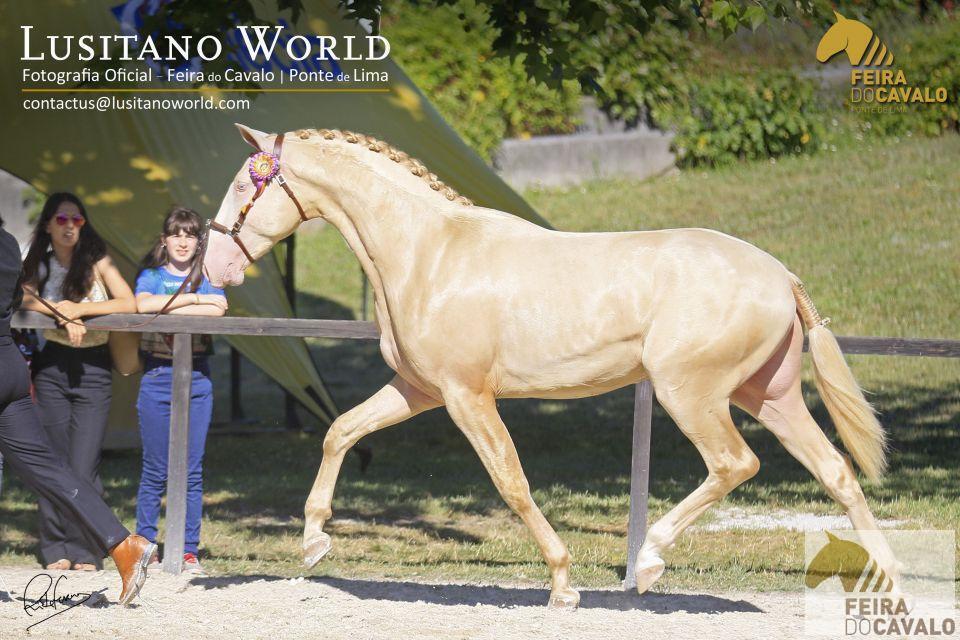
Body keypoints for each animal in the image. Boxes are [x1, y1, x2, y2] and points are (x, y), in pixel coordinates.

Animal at [202, 124, 899, 608]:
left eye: (241, 185)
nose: (215, 267)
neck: (428, 253)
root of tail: (780, 275)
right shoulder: (418, 389)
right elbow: (340, 431)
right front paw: (314, 542)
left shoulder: (466, 396)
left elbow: (511, 481)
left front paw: (563, 584)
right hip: (768, 396)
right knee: (837, 472)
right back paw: (891, 583)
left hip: (689, 392)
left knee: (736, 464)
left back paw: (649, 562)